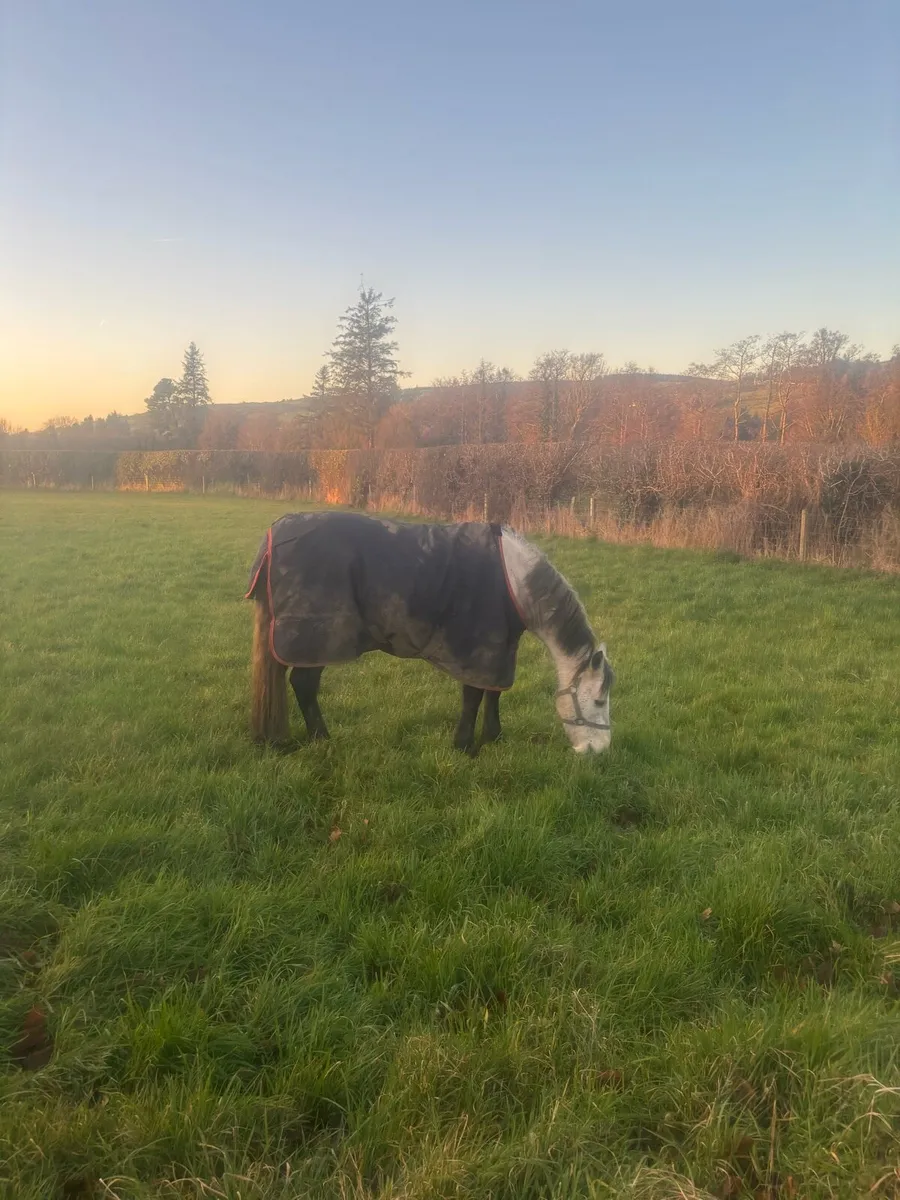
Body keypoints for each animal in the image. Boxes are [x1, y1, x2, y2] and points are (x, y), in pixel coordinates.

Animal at [246, 511, 614, 755]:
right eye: (598, 699)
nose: (599, 750)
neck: (516, 583)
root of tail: (274, 533)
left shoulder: (500, 649)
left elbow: (493, 693)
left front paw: (492, 738)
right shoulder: (478, 648)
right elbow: (473, 695)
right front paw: (464, 746)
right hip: (316, 640)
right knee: (304, 685)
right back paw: (322, 739)